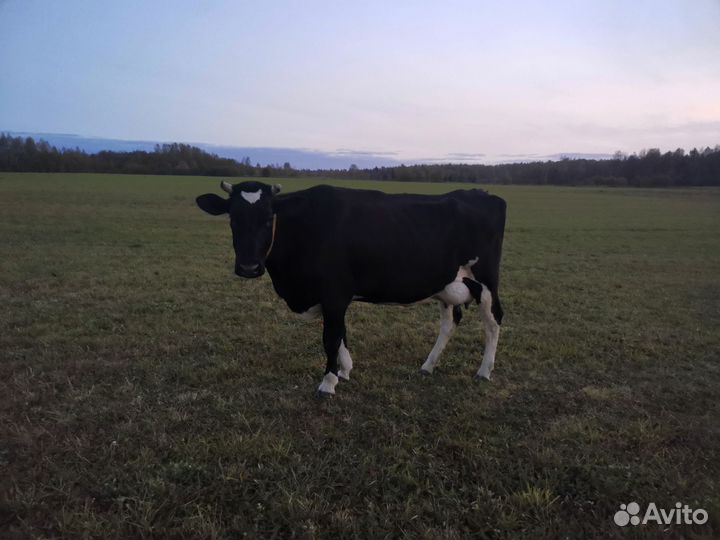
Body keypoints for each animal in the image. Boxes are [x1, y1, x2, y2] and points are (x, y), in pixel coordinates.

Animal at [196, 180, 506, 397]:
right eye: (233, 218)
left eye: (268, 218)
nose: (248, 267)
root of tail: (482, 193)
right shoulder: (332, 298)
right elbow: (341, 334)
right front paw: (344, 370)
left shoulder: (335, 293)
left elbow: (331, 337)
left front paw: (328, 382)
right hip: (448, 285)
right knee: (449, 323)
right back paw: (428, 365)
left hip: (486, 280)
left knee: (494, 320)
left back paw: (484, 371)